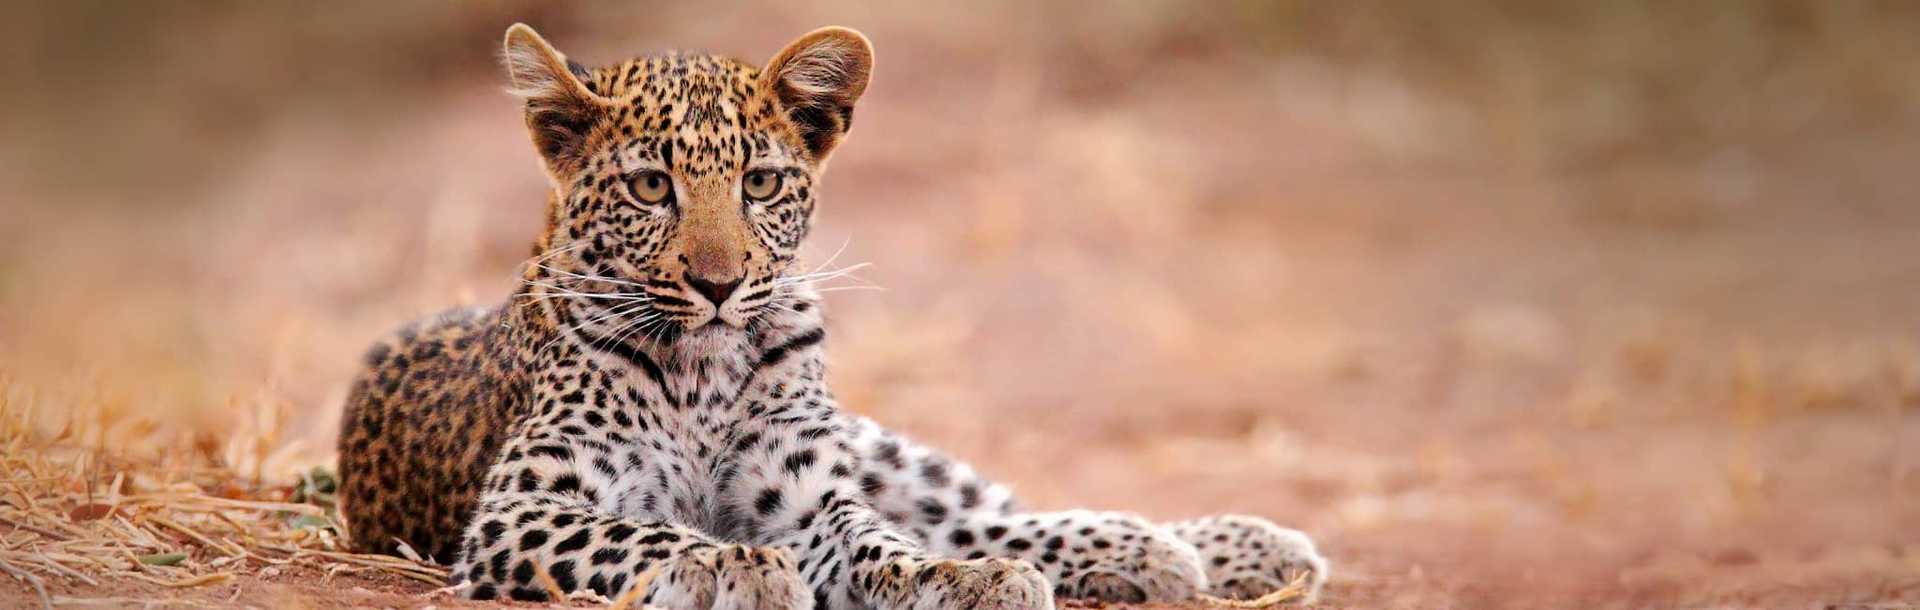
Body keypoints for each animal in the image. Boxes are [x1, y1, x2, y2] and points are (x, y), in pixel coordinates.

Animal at [337, 21, 1328, 606]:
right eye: (652, 187)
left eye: (761, 183)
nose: (720, 284)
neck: (703, 373)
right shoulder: (523, 505)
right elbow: (638, 532)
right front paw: (730, 567)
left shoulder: (807, 493)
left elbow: (880, 541)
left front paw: (954, 580)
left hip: (880, 449)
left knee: (981, 510)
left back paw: (1197, 547)